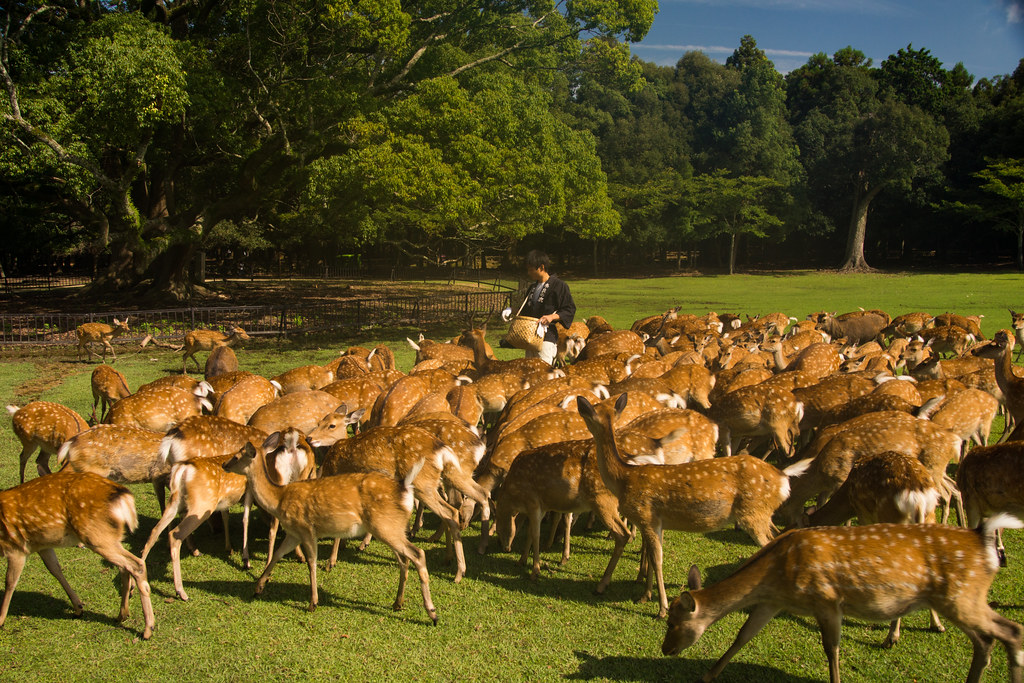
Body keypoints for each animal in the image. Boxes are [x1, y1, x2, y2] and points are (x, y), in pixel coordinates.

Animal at [0, 471, 155, 643]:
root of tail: (124, 497)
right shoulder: (42, 545)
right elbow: (55, 569)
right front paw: (78, 607)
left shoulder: (16, 547)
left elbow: (10, 582)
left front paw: (1, 620)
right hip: (111, 537)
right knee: (124, 567)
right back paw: (122, 615)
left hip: (96, 536)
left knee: (136, 564)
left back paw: (148, 629)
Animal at [225, 432, 440, 626]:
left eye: (236, 456)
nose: (223, 465)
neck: (278, 499)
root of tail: (405, 490)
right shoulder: (293, 533)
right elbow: (278, 554)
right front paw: (258, 587)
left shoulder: (306, 528)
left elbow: (311, 562)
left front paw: (313, 603)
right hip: (392, 528)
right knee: (404, 560)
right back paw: (397, 603)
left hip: (385, 527)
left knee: (418, 554)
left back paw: (432, 613)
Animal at [581, 389, 811, 618]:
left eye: (590, 414)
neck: (624, 477)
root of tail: (783, 477)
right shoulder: (657, 522)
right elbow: (655, 557)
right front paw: (645, 596)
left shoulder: (646, 516)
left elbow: (657, 559)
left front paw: (662, 608)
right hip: (763, 513)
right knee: (779, 534)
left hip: (753, 514)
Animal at [659, 518, 1019, 683]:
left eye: (673, 622)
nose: (665, 649)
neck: (777, 574)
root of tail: (987, 546)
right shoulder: (772, 602)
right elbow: (743, 636)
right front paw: (708, 675)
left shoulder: (827, 600)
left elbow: (831, 648)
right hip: (963, 599)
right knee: (991, 638)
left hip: (960, 597)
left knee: (1008, 631)